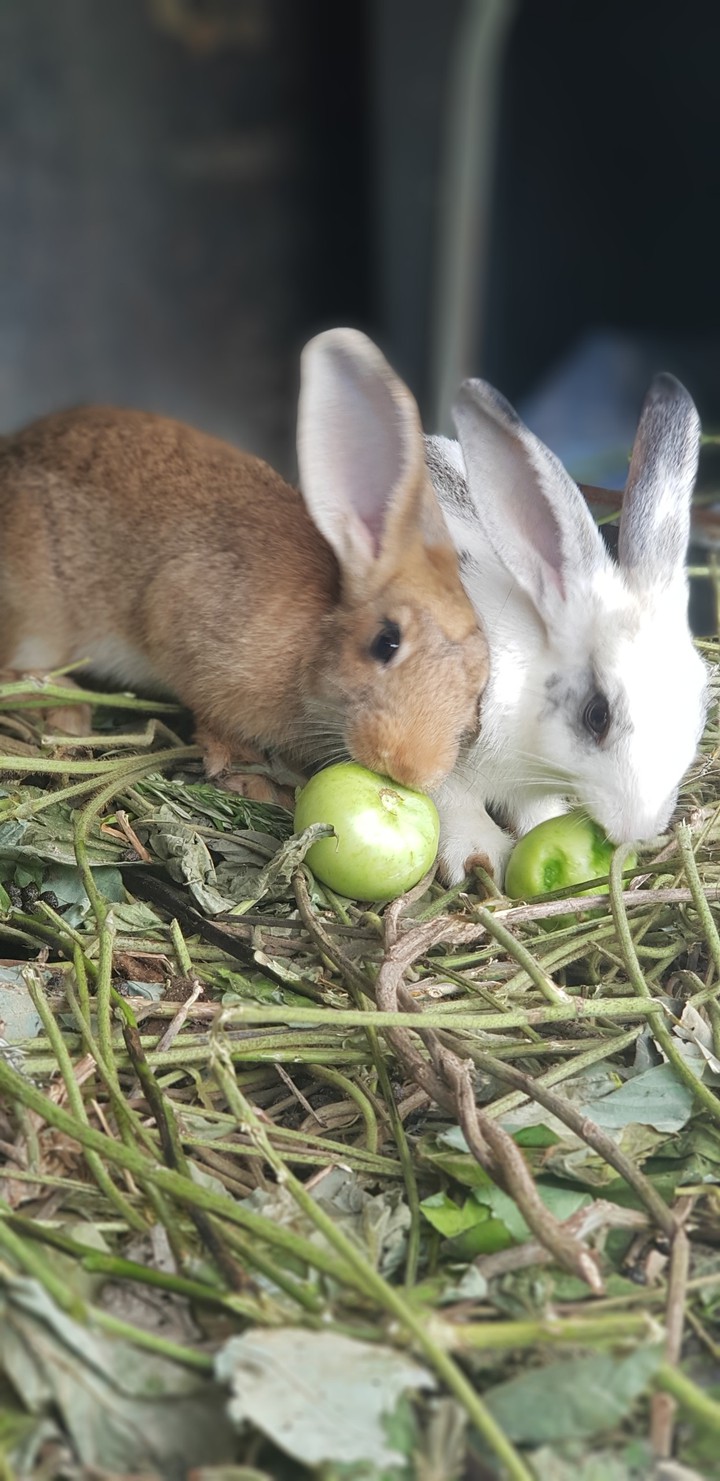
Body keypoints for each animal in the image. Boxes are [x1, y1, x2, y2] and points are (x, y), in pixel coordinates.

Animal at [0, 328, 489, 795]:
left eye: (480, 687)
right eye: (386, 642)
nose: (411, 767)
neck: (310, 648)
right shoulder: (184, 625)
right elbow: (214, 717)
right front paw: (242, 774)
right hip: (37, 618)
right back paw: (68, 711)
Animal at [423, 371, 709, 885]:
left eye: (700, 707)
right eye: (597, 715)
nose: (637, 828)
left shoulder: (529, 784)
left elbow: (536, 813)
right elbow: (452, 801)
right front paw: (478, 854)